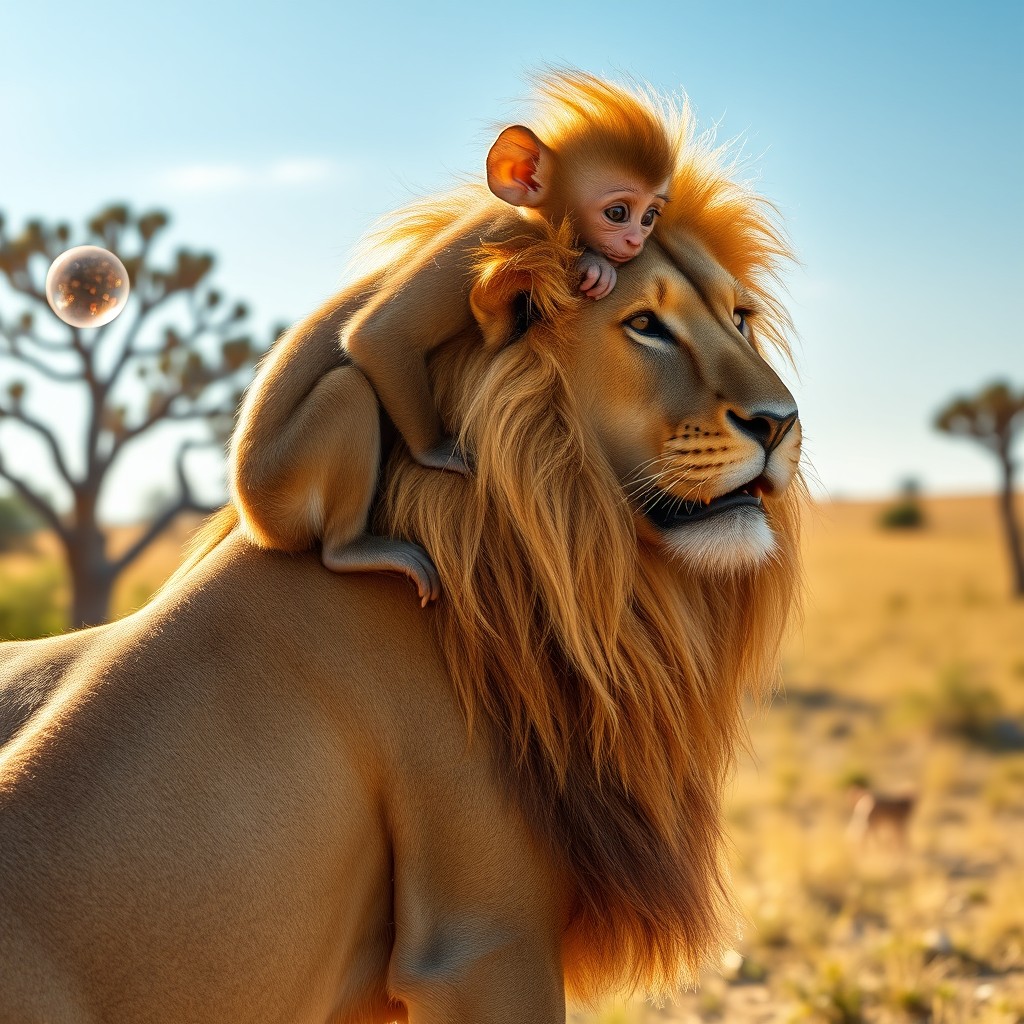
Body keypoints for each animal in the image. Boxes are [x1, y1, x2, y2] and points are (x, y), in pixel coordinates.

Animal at [230, 70, 678, 605]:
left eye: (649, 216)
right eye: (618, 212)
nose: (635, 240)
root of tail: (257, 524)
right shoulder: (484, 243)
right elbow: (374, 337)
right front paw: (439, 452)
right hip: (285, 487)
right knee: (347, 389)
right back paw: (351, 549)